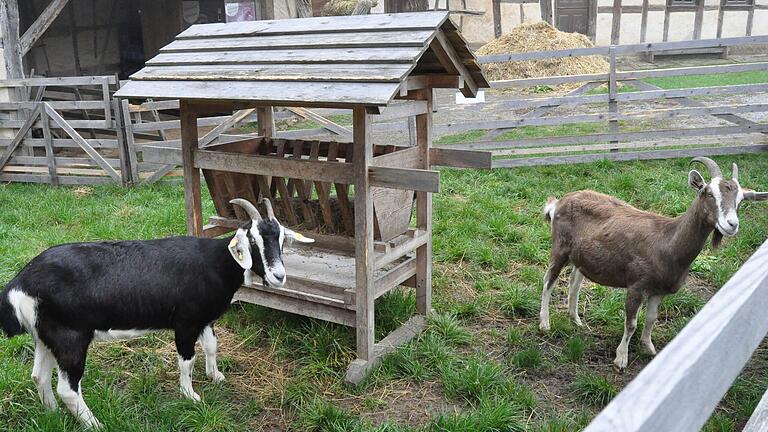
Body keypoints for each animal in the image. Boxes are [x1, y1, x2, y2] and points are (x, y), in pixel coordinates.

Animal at [0, 198, 312, 428]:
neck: (215, 262)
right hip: (70, 337)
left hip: (45, 335)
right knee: (68, 388)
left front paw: (216, 376)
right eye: (253, 241)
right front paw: (190, 395)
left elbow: (212, 346)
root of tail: (18, 285)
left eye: (281, 239)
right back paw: (95, 424)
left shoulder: (204, 319)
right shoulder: (185, 322)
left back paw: (52, 415)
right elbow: (187, 360)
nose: (279, 276)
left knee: (38, 376)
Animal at [540, 157, 768, 370]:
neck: (667, 242)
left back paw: (575, 319)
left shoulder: (659, 290)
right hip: (560, 248)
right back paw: (545, 323)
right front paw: (621, 358)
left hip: (581, 257)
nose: (732, 225)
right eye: (708, 193)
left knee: (574, 282)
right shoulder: (636, 286)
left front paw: (649, 348)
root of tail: (559, 202)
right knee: (548, 281)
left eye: (740, 201)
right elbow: (631, 323)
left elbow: (651, 318)